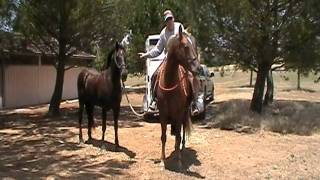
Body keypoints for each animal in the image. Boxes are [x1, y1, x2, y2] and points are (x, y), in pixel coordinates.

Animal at [157, 25, 200, 167]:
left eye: (194, 45)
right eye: (186, 46)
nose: (198, 68)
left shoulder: (179, 113)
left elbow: (178, 136)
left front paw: (179, 161)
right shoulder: (163, 114)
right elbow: (163, 136)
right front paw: (162, 161)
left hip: (184, 113)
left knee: (182, 132)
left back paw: (182, 150)